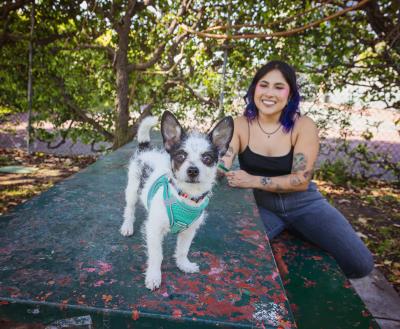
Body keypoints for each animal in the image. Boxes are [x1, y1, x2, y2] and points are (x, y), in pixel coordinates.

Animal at [120, 111, 233, 290]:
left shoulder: (189, 231)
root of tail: (146, 150)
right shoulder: (153, 230)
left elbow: (182, 250)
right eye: (180, 156)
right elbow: (156, 255)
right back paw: (127, 226)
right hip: (132, 189)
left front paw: (183, 264)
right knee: (129, 209)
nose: (193, 170)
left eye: (207, 158)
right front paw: (154, 276)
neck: (185, 196)